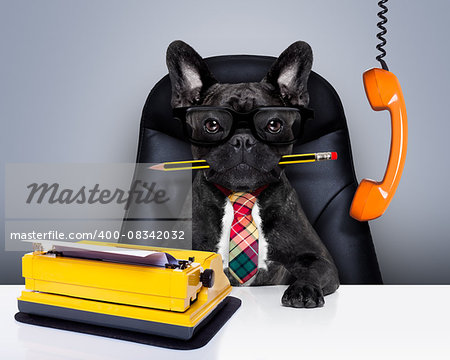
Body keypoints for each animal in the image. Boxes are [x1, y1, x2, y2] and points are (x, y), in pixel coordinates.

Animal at [165, 40, 338, 308]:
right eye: (212, 124)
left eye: (274, 124)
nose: (243, 140)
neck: (242, 195)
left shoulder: (318, 257)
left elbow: (313, 270)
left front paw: (303, 289)